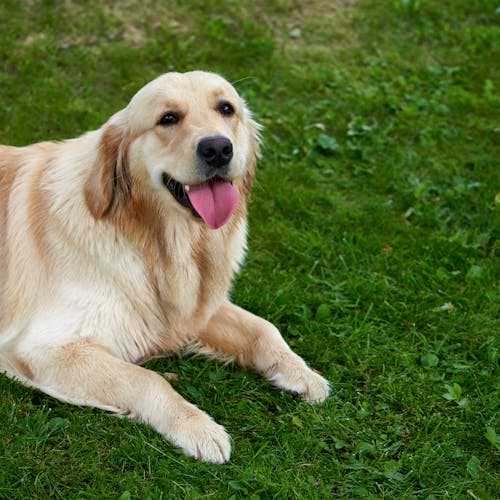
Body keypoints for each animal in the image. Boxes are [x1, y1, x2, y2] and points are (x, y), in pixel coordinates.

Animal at [0, 70, 332, 460]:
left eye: (226, 109)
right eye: (168, 118)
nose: (218, 149)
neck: (159, 241)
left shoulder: (193, 309)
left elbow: (263, 328)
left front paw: (301, 373)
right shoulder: (44, 349)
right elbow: (146, 378)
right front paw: (198, 427)